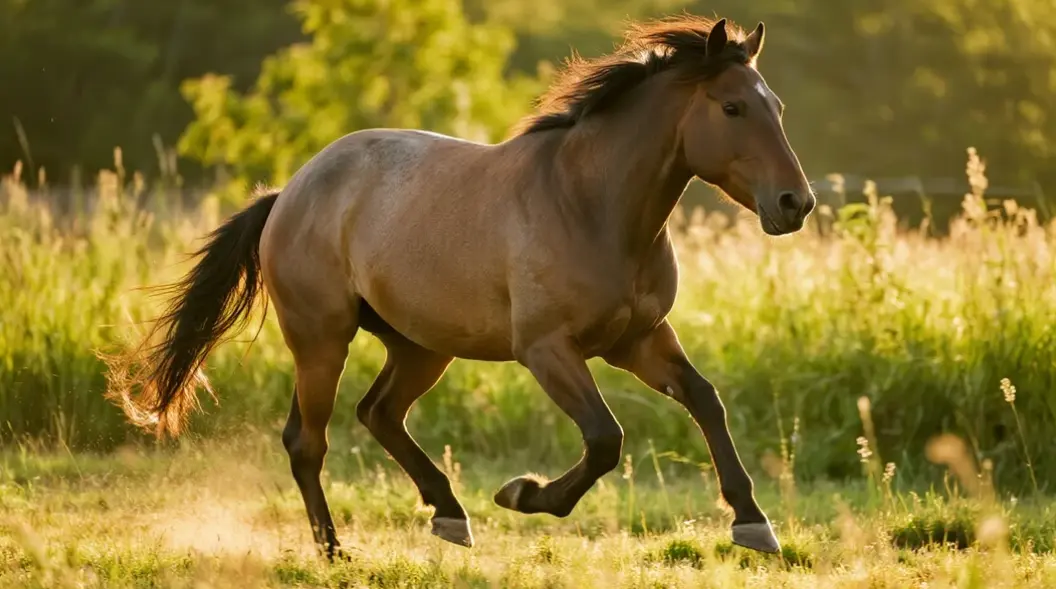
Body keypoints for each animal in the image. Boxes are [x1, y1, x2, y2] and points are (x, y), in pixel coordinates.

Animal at [105, 14, 815, 560]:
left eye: (778, 107)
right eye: (731, 106)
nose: (795, 203)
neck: (589, 205)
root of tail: (289, 192)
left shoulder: (638, 339)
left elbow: (705, 400)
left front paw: (754, 525)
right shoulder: (547, 349)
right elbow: (605, 439)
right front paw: (523, 494)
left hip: (422, 346)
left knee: (378, 413)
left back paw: (448, 514)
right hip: (321, 340)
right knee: (309, 440)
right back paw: (336, 551)